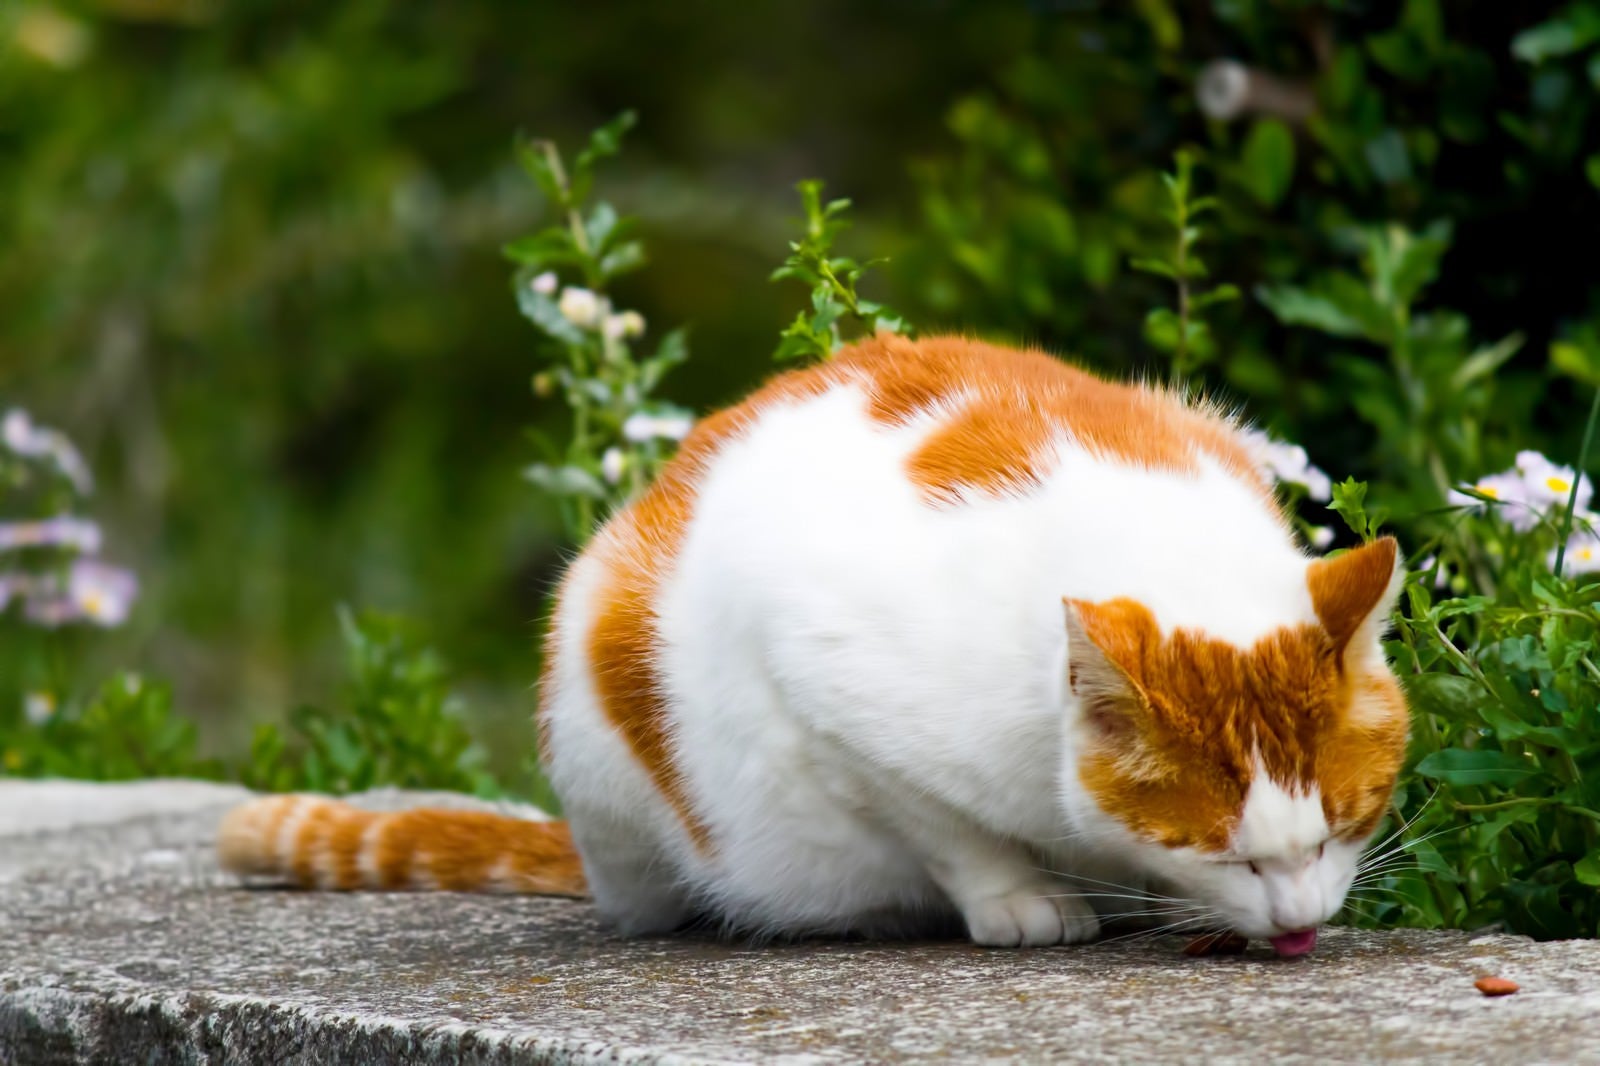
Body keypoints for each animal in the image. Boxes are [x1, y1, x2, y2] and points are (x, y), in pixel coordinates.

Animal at [219, 334, 1408, 953]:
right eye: (1226, 851)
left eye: (1345, 823)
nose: (1300, 924)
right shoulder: (828, 696)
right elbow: (946, 827)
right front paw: (1021, 898)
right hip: (598, 689)